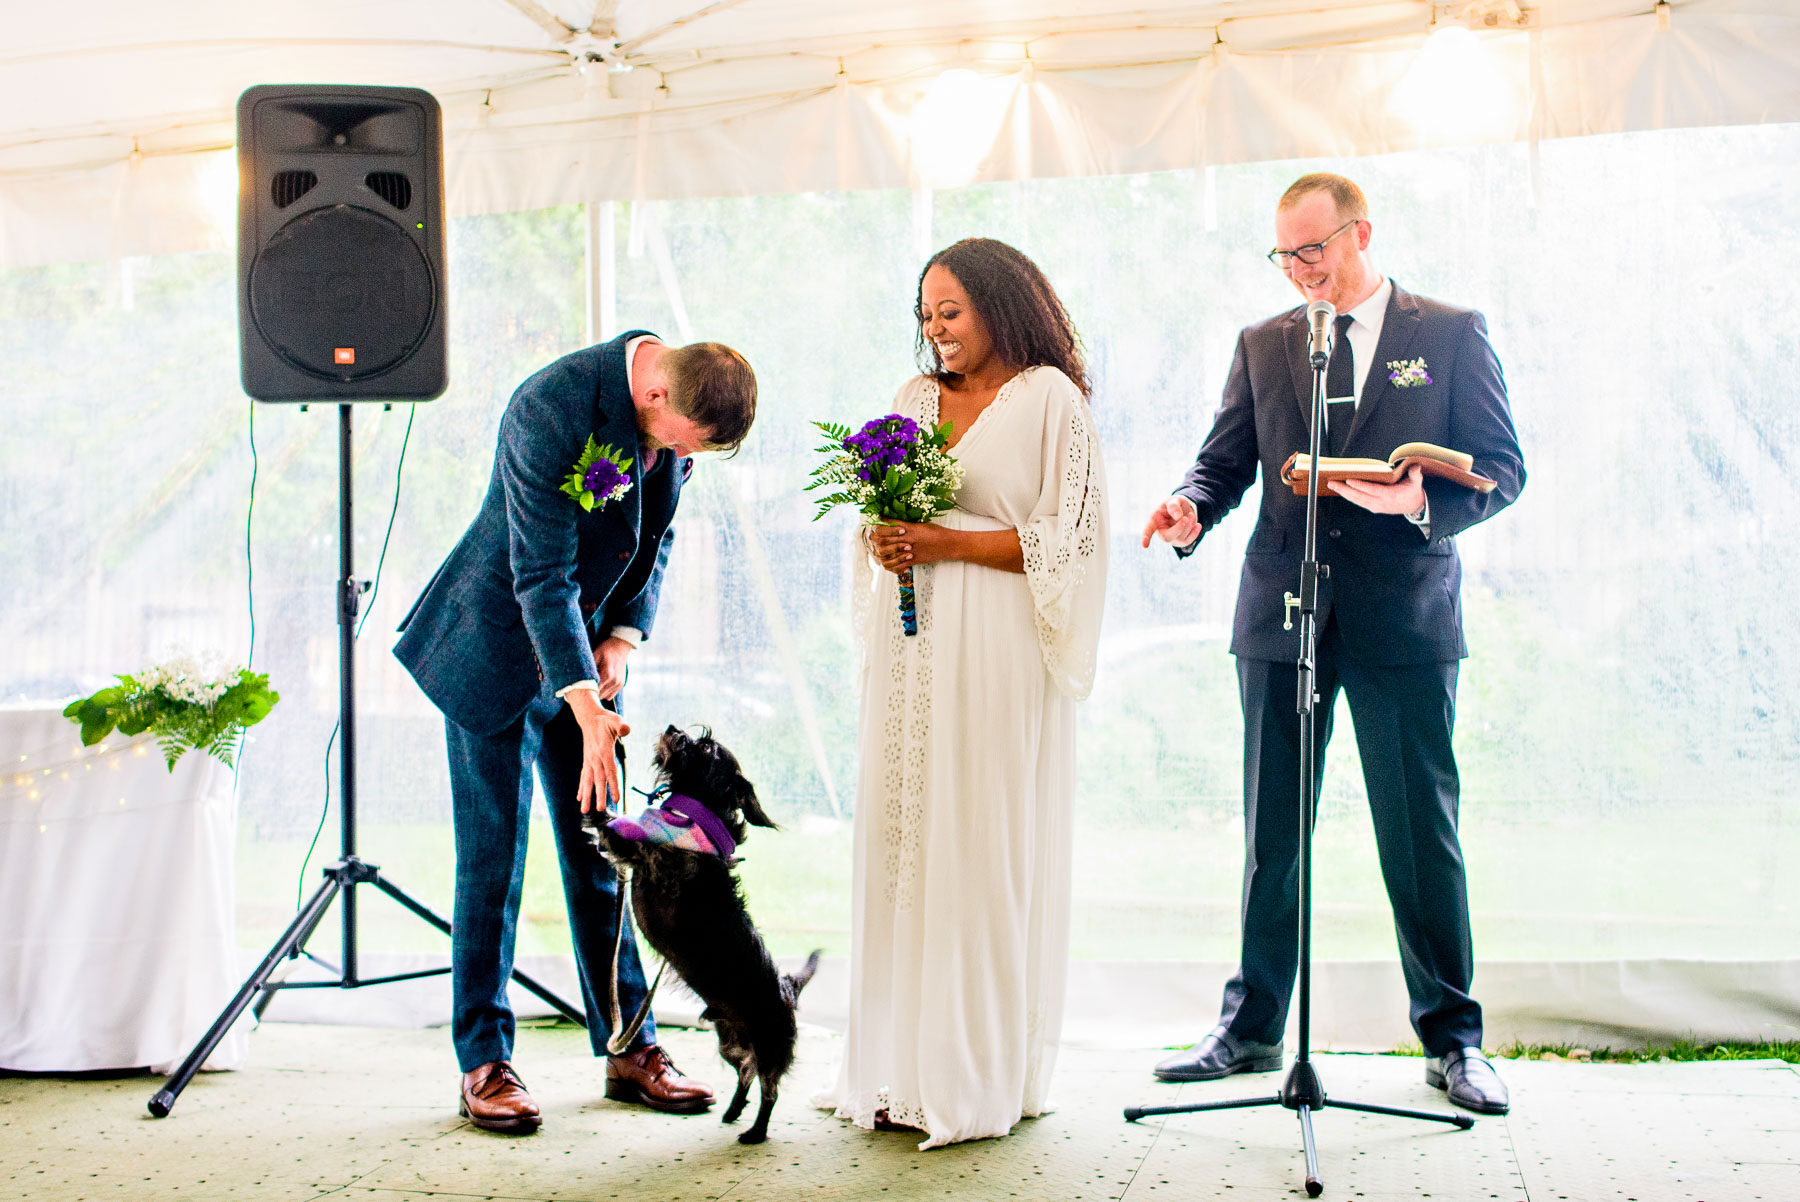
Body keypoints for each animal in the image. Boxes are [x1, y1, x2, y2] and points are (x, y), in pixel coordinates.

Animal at [590, 723, 824, 1144]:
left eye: (708, 748)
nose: (672, 729)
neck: (691, 812)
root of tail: (788, 989)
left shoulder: (656, 860)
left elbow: (619, 834)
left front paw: (594, 806)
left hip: (770, 1046)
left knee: (770, 1089)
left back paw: (756, 1131)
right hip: (731, 1042)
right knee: (745, 1072)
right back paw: (733, 1111)